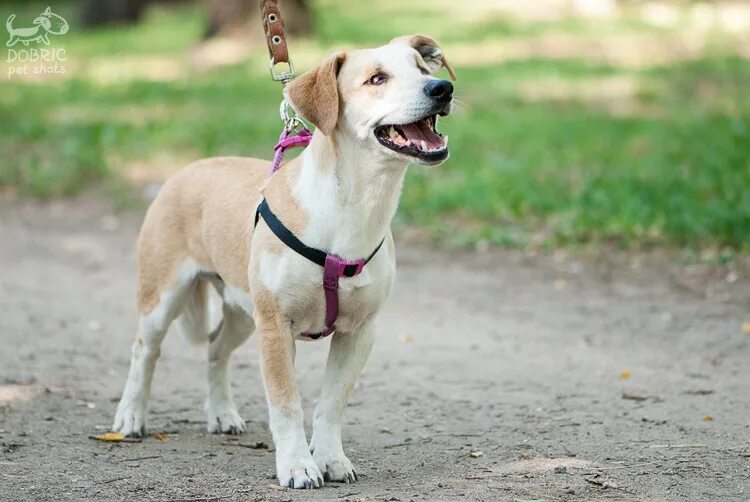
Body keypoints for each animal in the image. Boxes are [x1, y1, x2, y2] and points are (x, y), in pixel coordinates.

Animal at [109, 33, 456, 488]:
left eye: (422, 69)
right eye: (377, 79)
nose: (442, 89)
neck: (352, 208)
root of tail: (186, 170)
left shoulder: (359, 332)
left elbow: (331, 404)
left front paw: (330, 458)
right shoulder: (276, 328)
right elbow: (287, 404)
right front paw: (297, 466)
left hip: (243, 310)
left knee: (216, 348)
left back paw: (221, 413)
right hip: (165, 296)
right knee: (143, 351)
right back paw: (130, 416)